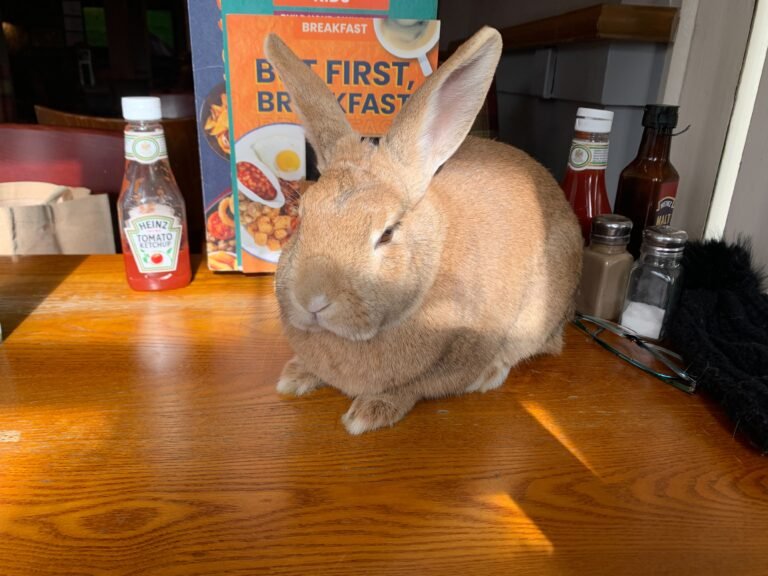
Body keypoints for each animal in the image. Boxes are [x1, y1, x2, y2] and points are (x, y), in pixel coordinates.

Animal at [265, 26, 583, 435]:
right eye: (302, 216)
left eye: (387, 232)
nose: (312, 300)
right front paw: (295, 376)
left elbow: (414, 387)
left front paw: (368, 413)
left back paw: (491, 373)